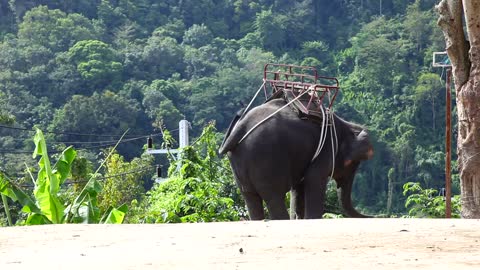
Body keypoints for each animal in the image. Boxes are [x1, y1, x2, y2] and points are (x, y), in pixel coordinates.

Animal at [219, 97, 374, 219]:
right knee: (274, 197)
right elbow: (314, 179)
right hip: (266, 159)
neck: (343, 124)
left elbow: (299, 187)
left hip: (241, 162)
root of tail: (241, 127)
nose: (373, 216)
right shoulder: (326, 148)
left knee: (250, 197)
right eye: (350, 162)